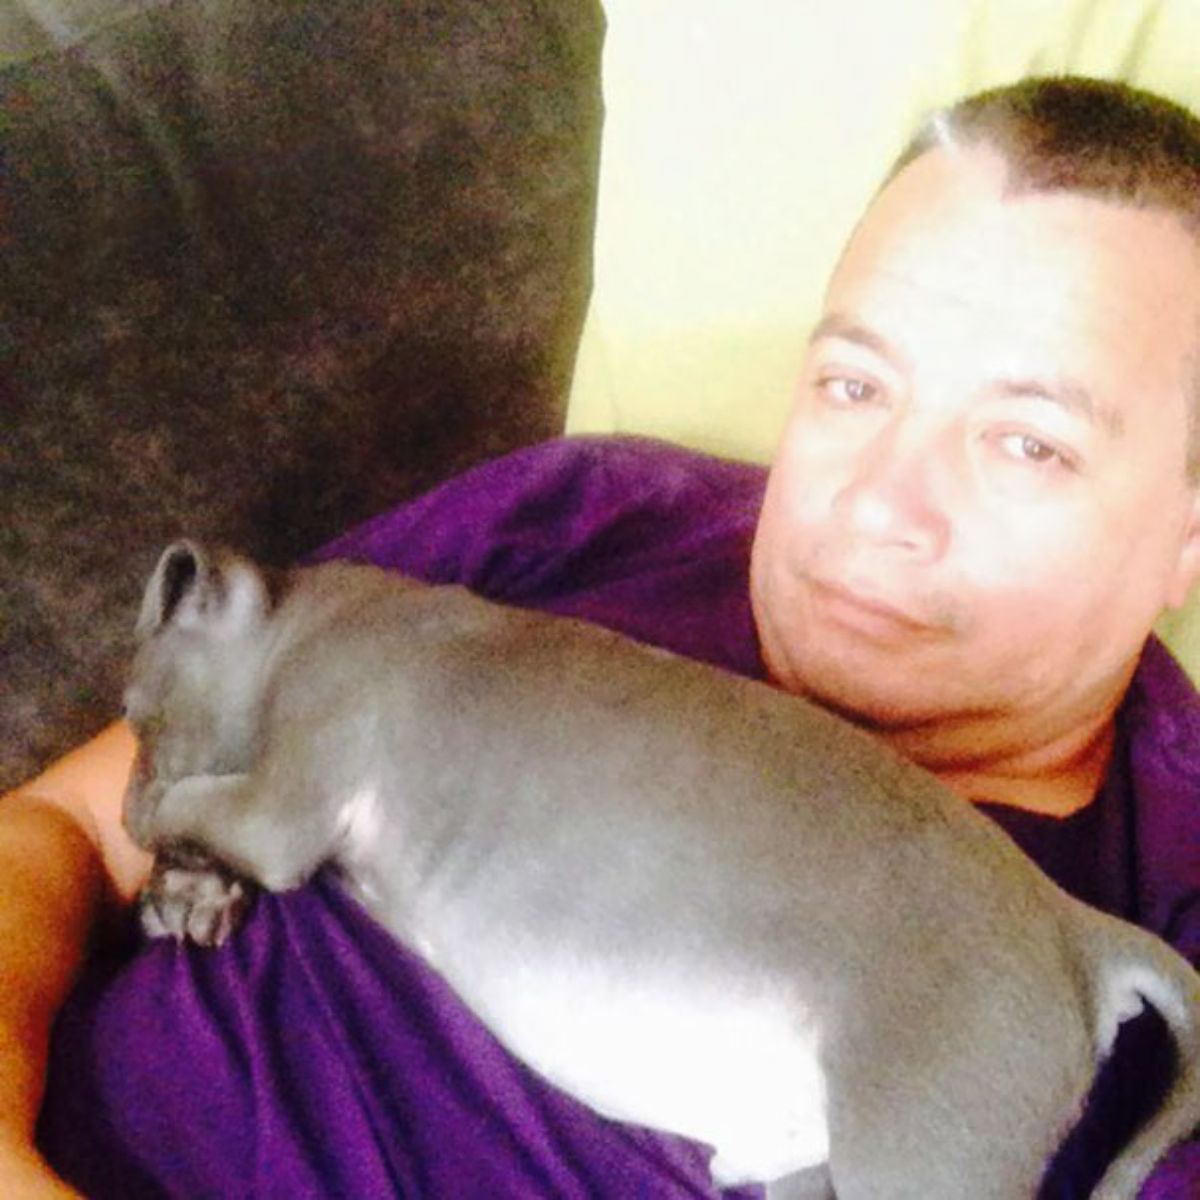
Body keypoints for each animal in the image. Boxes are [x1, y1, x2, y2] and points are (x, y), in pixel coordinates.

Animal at [124, 542, 1200, 1200]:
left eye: (135, 715)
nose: (124, 806)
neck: (303, 621)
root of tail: (1075, 928)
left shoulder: (289, 794)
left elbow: (209, 806)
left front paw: (164, 838)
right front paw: (187, 893)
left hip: (924, 1144)